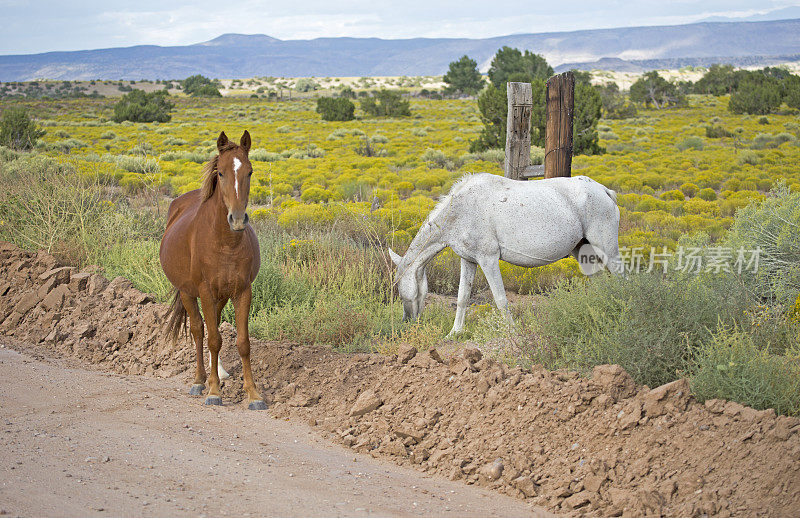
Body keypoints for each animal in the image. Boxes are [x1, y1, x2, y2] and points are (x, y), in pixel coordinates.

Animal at [159, 132, 266, 412]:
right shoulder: (205, 291)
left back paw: (214, 373)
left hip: (221, 296)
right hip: (188, 293)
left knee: (212, 325)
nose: (237, 219)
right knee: (199, 331)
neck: (225, 243)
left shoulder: (242, 291)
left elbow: (242, 342)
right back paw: (200, 381)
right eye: (220, 172)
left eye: (250, 171)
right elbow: (213, 339)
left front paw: (253, 394)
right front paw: (214, 391)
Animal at [388, 173, 624, 340]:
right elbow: (462, 298)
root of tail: (604, 190)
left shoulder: (488, 259)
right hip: (582, 251)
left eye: (399, 287)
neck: (462, 210)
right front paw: (454, 333)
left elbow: (500, 299)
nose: (407, 322)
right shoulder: (469, 261)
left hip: (607, 249)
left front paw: (512, 332)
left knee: (623, 278)